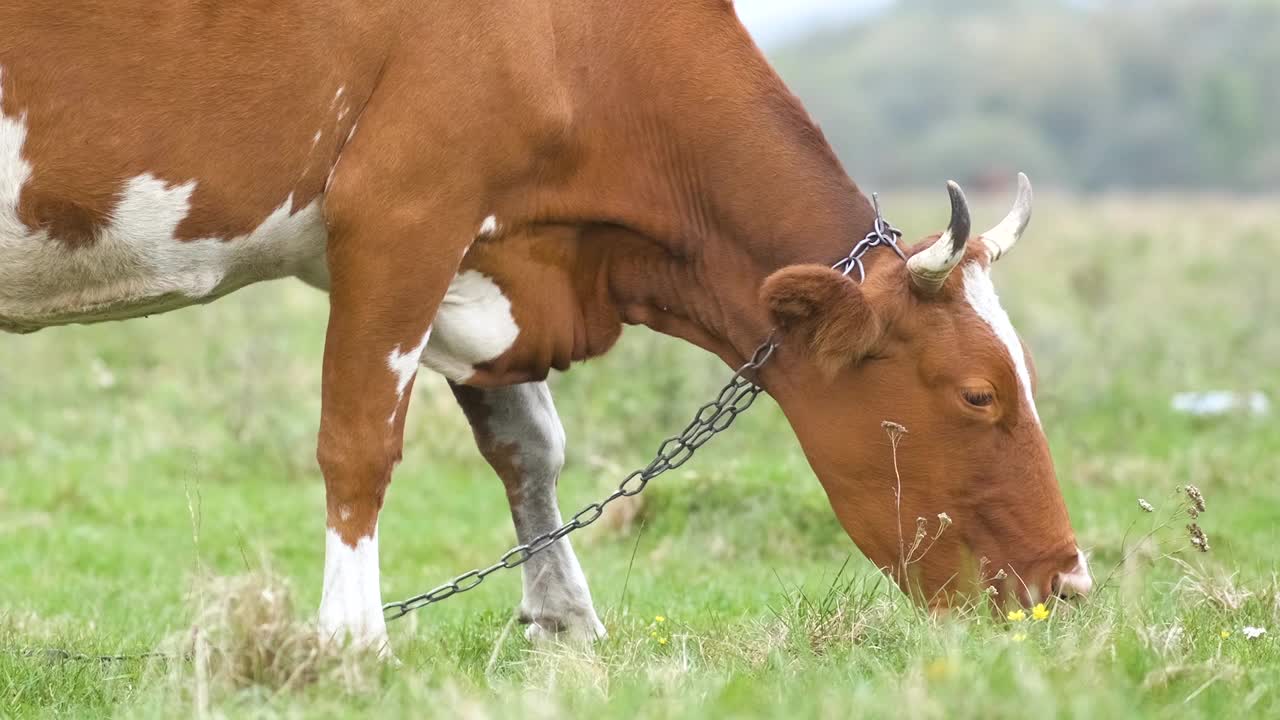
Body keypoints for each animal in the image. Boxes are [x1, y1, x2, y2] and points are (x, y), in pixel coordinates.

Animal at [0, 0, 1090, 650]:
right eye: (978, 394)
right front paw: (353, 642)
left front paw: (564, 621)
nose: (1070, 585)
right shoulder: (401, 215)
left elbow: (529, 448)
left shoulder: (486, 258)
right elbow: (358, 444)